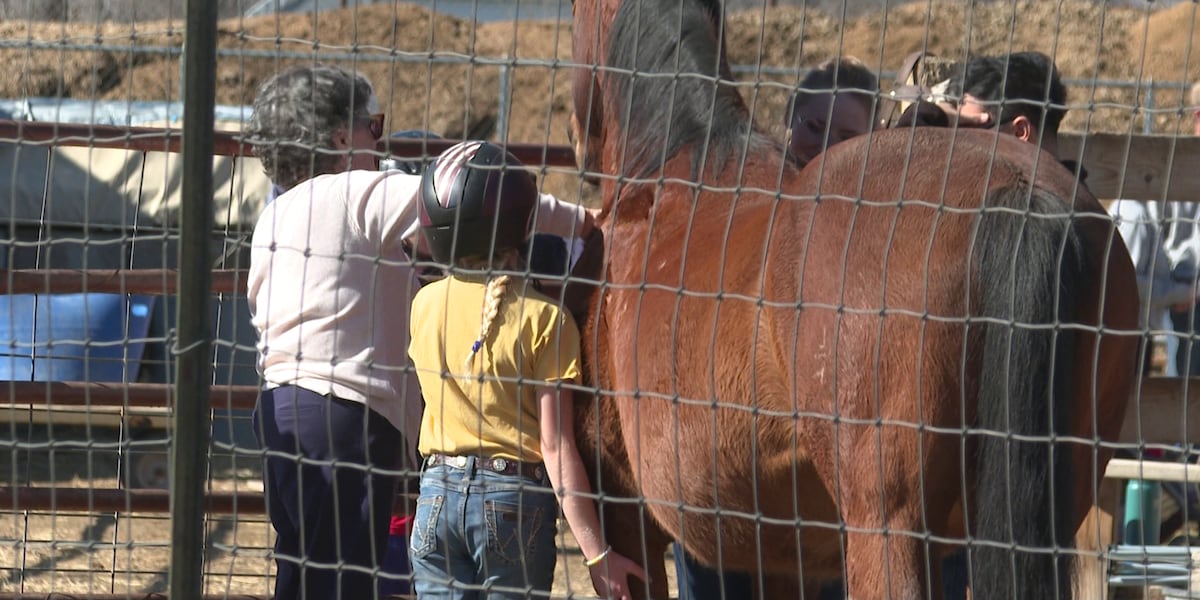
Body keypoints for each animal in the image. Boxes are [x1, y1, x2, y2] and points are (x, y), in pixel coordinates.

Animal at [565, 0, 1142, 599]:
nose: (575, 140)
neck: (675, 176)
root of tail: (1015, 189)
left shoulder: (625, 520)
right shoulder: (779, 556)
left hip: (887, 528)